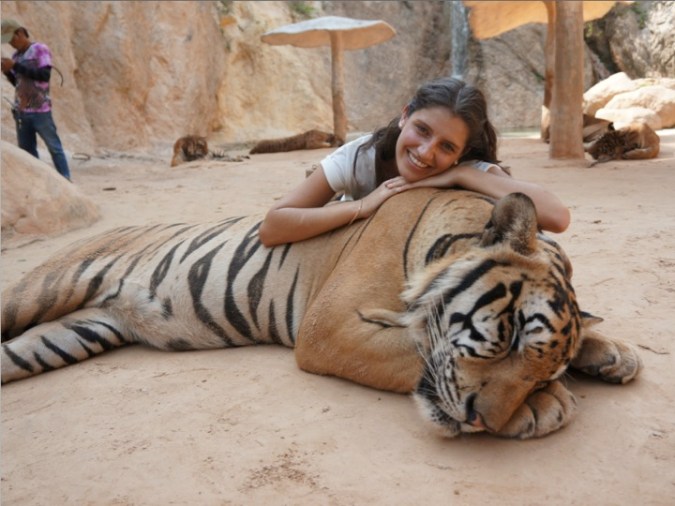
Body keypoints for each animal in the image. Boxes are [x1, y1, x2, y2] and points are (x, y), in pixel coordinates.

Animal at [0, 189, 641, 439]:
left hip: (69, 334)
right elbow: (415, 351)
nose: (483, 420)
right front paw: (548, 408)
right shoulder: (329, 327)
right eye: (508, 338)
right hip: (40, 290)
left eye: (539, 368)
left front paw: (610, 356)